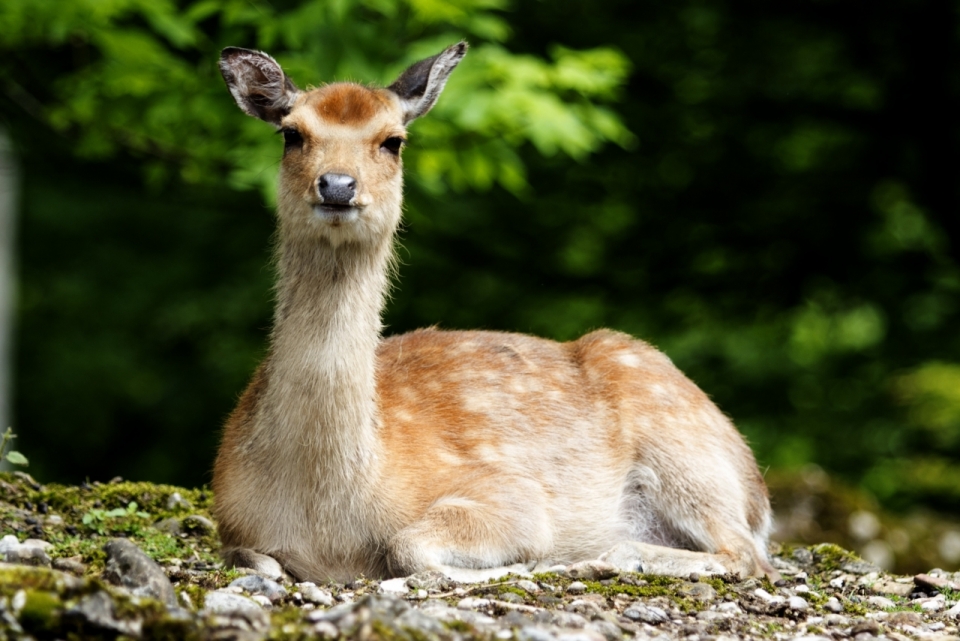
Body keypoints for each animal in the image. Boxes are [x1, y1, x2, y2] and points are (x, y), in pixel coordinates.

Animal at [214, 42, 776, 584]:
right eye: (292, 134)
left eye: (393, 140)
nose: (336, 185)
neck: (325, 517)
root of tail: (758, 489)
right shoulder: (233, 525)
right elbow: (252, 559)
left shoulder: (511, 493)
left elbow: (408, 547)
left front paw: (531, 563)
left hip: (689, 457)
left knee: (749, 556)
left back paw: (601, 557)